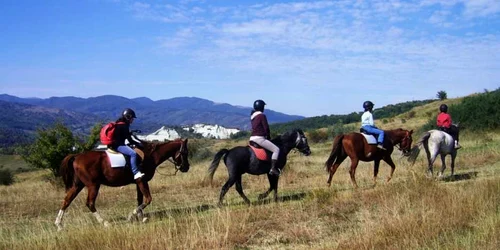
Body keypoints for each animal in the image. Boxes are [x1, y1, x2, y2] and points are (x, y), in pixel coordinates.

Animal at [53, 139, 188, 230]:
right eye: (185, 152)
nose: (186, 167)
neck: (150, 156)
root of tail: (77, 156)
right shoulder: (142, 181)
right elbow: (148, 199)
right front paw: (132, 215)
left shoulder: (139, 182)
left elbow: (140, 200)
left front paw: (141, 217)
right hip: (93, 186)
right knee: (90, 203)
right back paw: (104, 222)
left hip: (78, 185)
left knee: (67, 200)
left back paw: (59, 224)